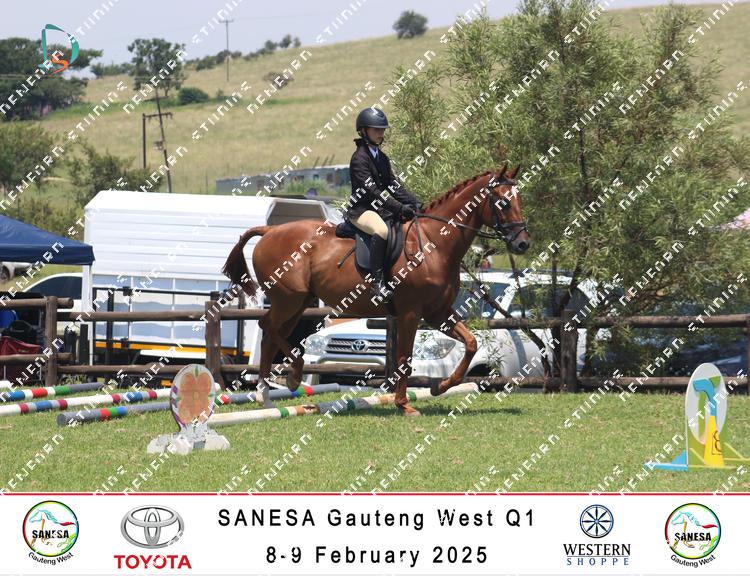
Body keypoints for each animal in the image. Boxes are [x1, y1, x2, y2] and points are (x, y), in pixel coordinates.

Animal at [222, 164, 530, 416]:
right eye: (503, 202)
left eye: (520, 200)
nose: (522, 244)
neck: (434, 243)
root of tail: (269, 231)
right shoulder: (411, 312)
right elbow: (405, 358)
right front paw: (404, 404)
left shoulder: (438, 312)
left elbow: (471, 343)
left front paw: (440, 386)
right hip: (288, 299)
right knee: (268, 327)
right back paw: (292, 377)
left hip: (298, 303)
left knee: (272, 335)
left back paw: (267, 396)